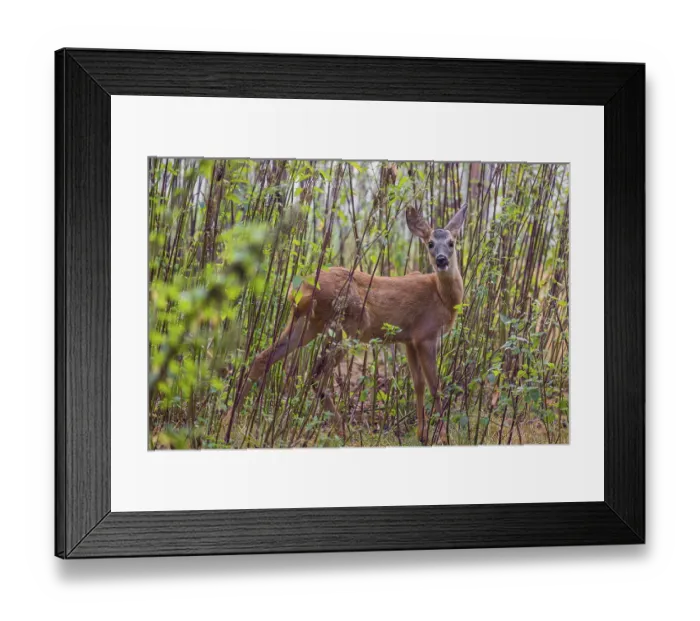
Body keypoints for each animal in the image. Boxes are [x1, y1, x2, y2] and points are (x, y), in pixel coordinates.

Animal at [225, 203, 468, 446]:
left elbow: (418, 384)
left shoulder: (409, 339)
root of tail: (300, 288)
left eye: (451, 242)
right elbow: (435, 387)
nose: (442, 260)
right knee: (317, 375)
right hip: (345, 327)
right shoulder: (426, 335)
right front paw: (442, 436)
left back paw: (228, 425)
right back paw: (342, 430)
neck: (442, 297)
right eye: (430, 244)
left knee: (262, 358)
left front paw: (422, 435)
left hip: (306, 324)